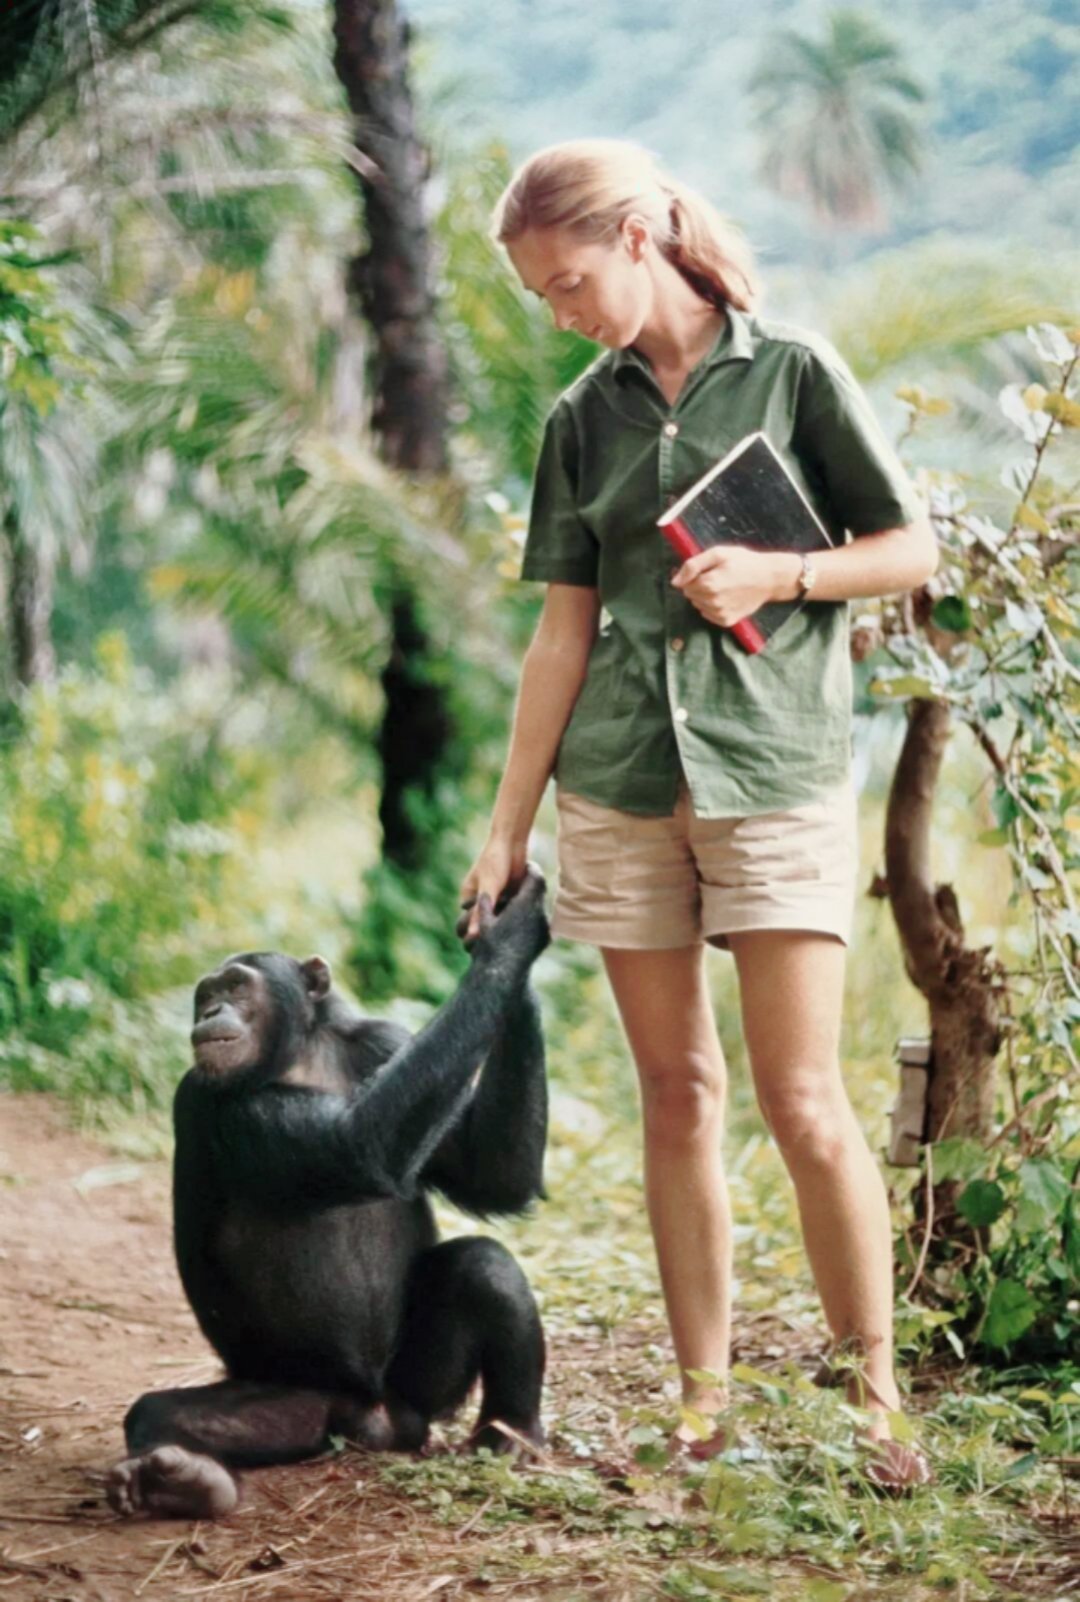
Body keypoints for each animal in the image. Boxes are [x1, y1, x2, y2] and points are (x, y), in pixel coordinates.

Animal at [106, 865, 551, 1512]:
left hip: (419, 1388)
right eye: (203, 993)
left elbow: (494, 1173)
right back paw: (183, 1479)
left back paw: (511, 1434)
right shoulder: (214, 1103)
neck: (301, 1055)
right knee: (157, 1415)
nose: (210, 1010)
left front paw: (512, 929)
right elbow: (358, 1146)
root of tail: (375, 1420)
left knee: (485, 1267)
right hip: (300, 1403)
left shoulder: (388, 1043)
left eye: (235, 986)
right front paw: (510, 938)